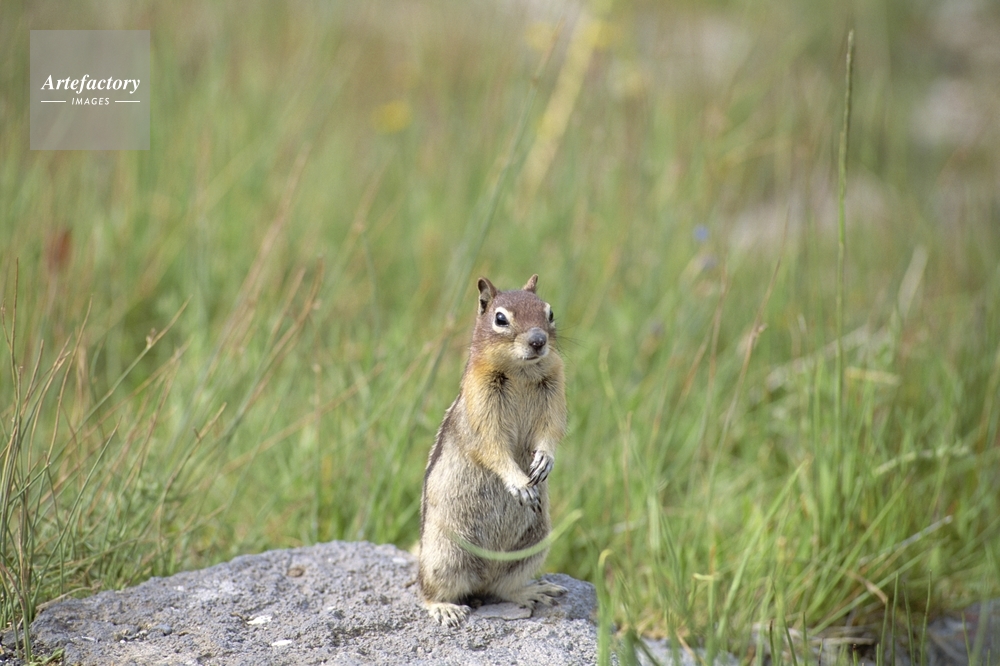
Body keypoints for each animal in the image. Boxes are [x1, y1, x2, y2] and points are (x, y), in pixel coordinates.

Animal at [418, 274, 568, 626]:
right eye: (500, 319)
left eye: (550, 312)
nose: (539, 340)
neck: (521, 372)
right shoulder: (481, 403)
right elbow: (492, 446)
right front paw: (520, 483)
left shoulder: (555, 391)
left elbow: (551, 432)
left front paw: (544, 461)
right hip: (444, 555)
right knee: (426, 591)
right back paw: (444, 608)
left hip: (535, 542)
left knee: (501, 587)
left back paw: (532, 591)